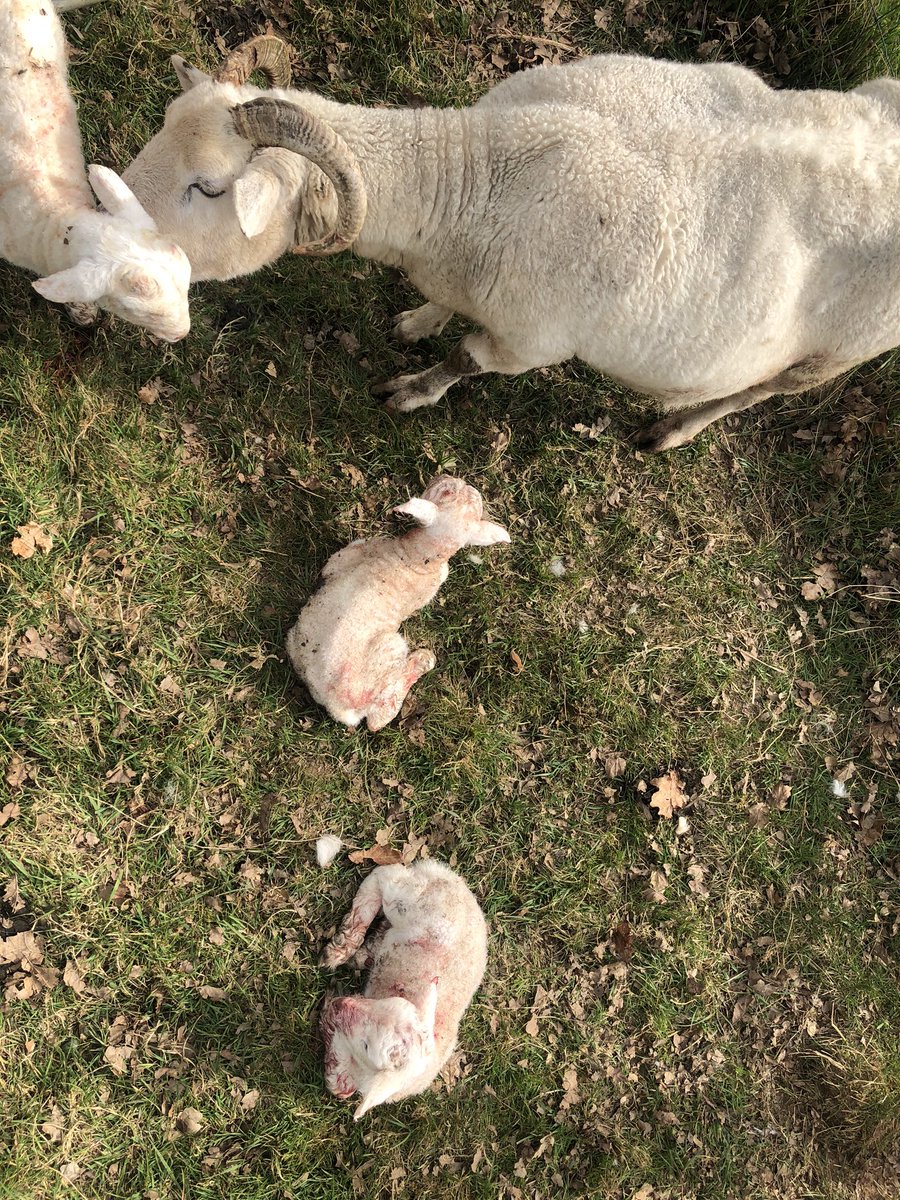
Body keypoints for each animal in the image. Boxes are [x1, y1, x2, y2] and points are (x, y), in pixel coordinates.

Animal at [121, 40, 900, 448]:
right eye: (161, 125)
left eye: (210, 188)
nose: (103, 212)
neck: (486, 174)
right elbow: (441, 311)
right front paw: (417, 321)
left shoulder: (531, 341)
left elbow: (466, 361)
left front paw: (411, 391)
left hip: (836, 353)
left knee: (759, 392)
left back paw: (676, 428)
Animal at [285, 474, 509, 732]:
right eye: (448, 491)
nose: (444, 476)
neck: (421, 555)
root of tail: (338, 707)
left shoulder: (356, 550)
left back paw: (422, 661)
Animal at [320, 858, 488, 1119]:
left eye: (366, 1046)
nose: (343, 1004)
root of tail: (452, 879)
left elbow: (339, 1088)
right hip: (406, 900)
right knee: (384, 876)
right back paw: (344, 946)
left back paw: (366, 949)